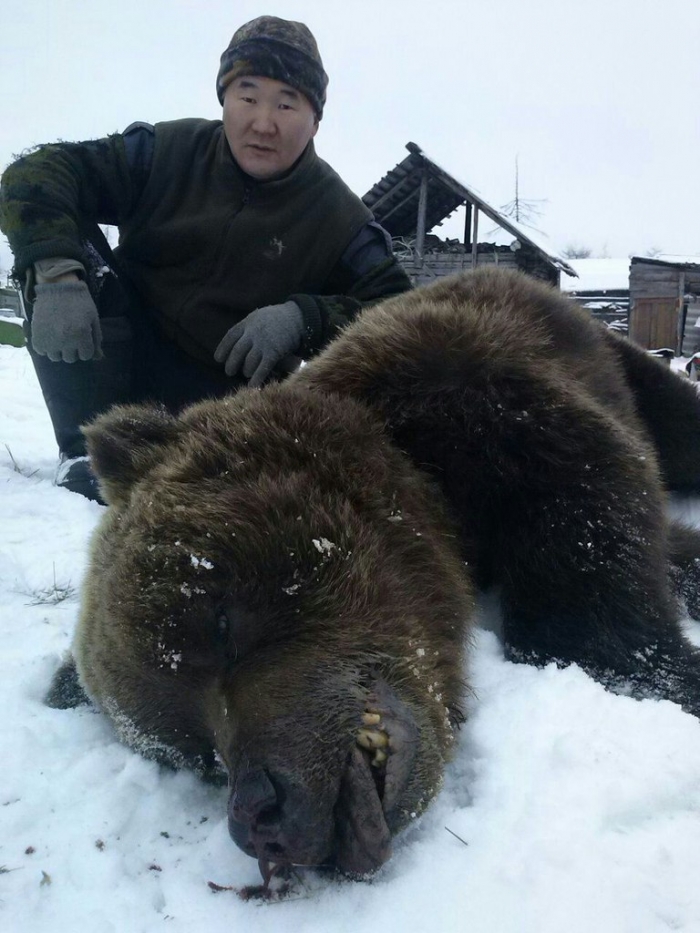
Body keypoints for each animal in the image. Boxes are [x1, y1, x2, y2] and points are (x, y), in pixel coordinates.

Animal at [52, 264, 700, 888]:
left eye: (219, 624)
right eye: (195, 751)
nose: (262, 815)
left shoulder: (488, 394)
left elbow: (591, 530)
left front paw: (663, 669)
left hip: (610, 356)